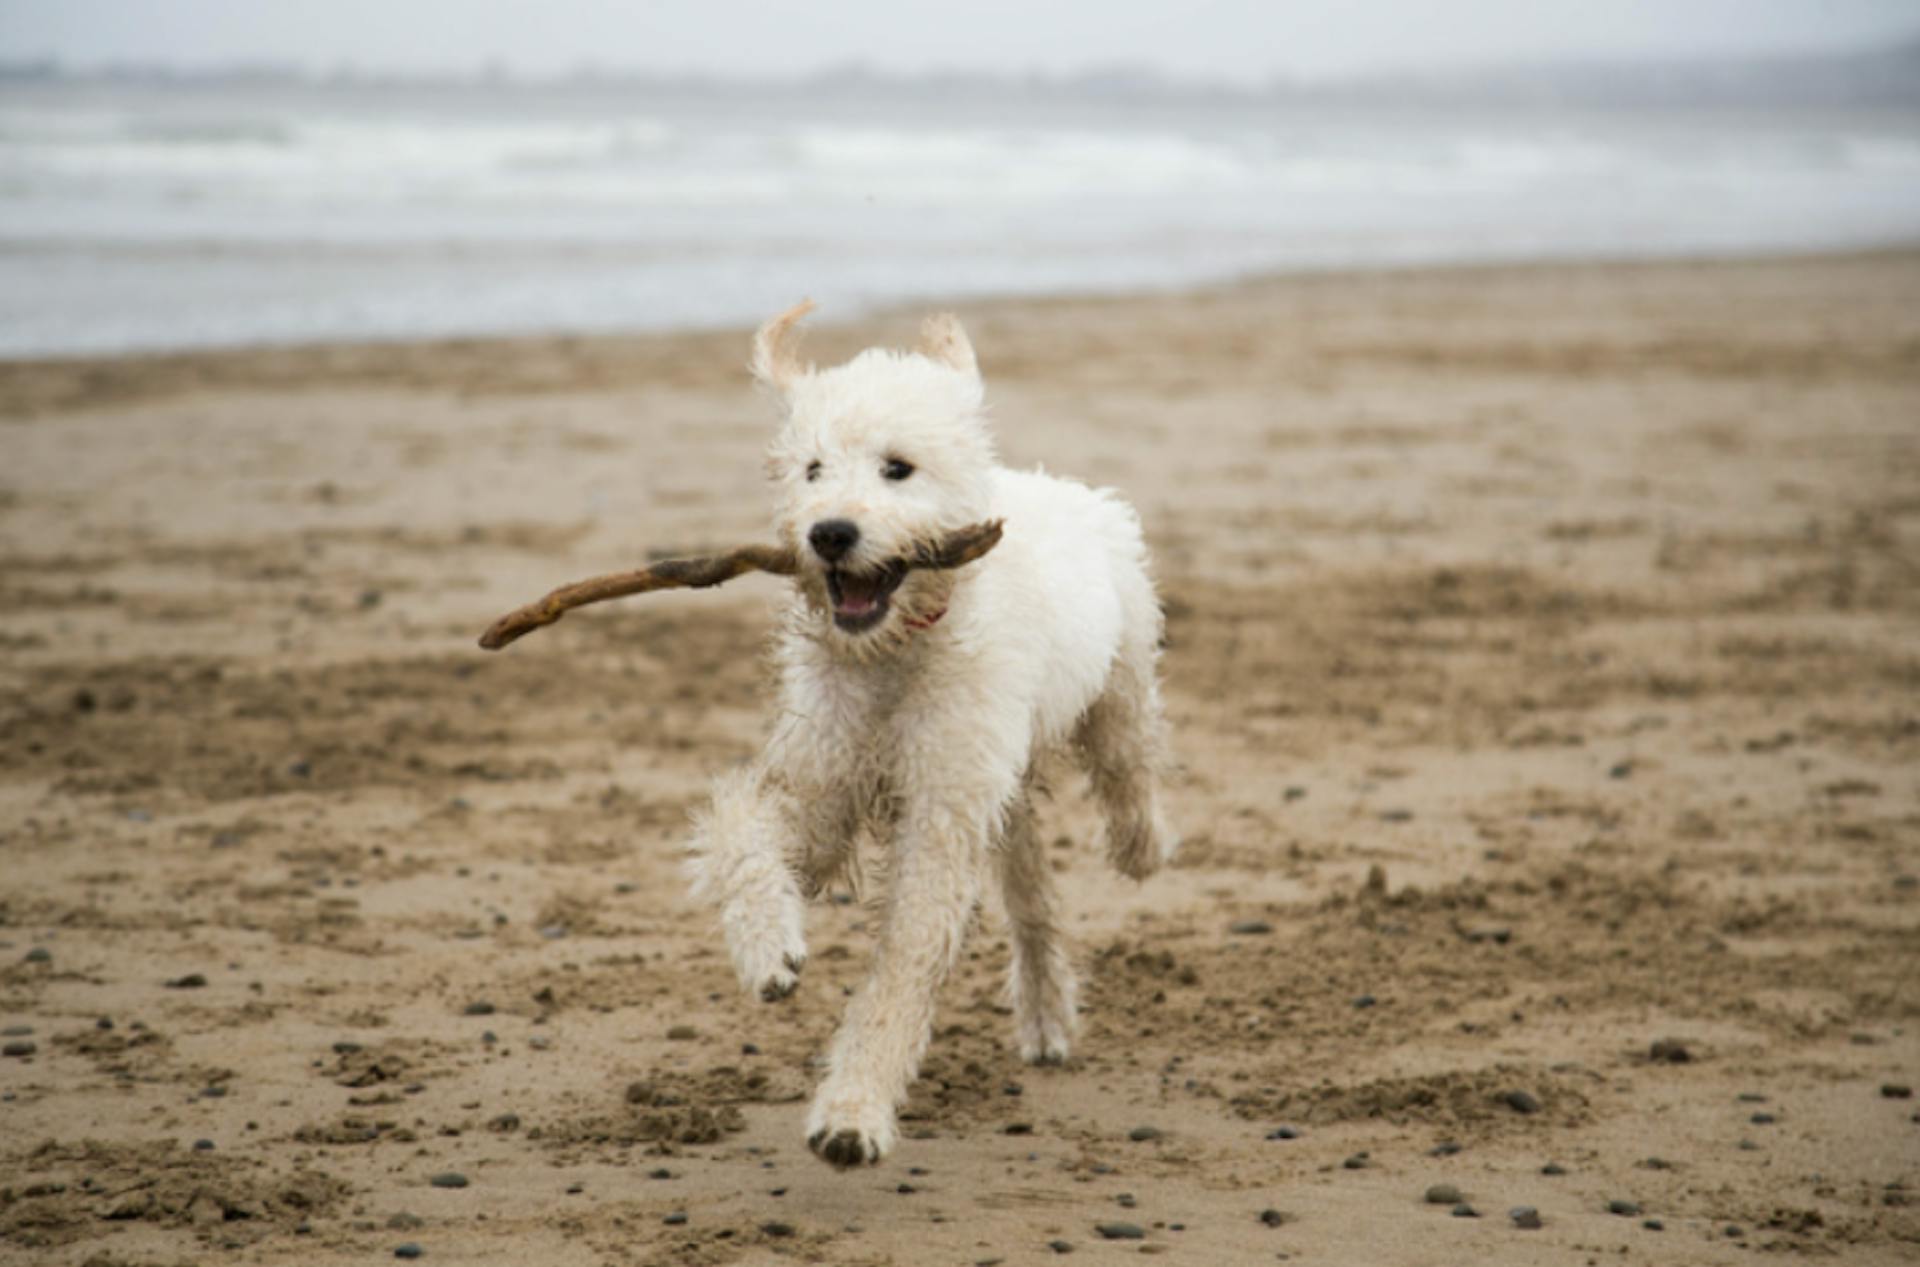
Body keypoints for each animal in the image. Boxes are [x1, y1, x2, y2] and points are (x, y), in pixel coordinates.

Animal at [683, 299, 1175, 1167]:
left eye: (898, 468)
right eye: (812, 469)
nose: (830, 533)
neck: (896, 651)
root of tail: (1046, 484)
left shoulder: (942, 816)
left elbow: (903, 964)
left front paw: (852, 1112)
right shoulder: (830, 780)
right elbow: (745, 828)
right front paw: (768, 947)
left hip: (1115, 679)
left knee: (1129, 758)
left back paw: (1142, 843)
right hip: (1001, 782)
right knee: (1033, 899)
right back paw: (1046, 1016)